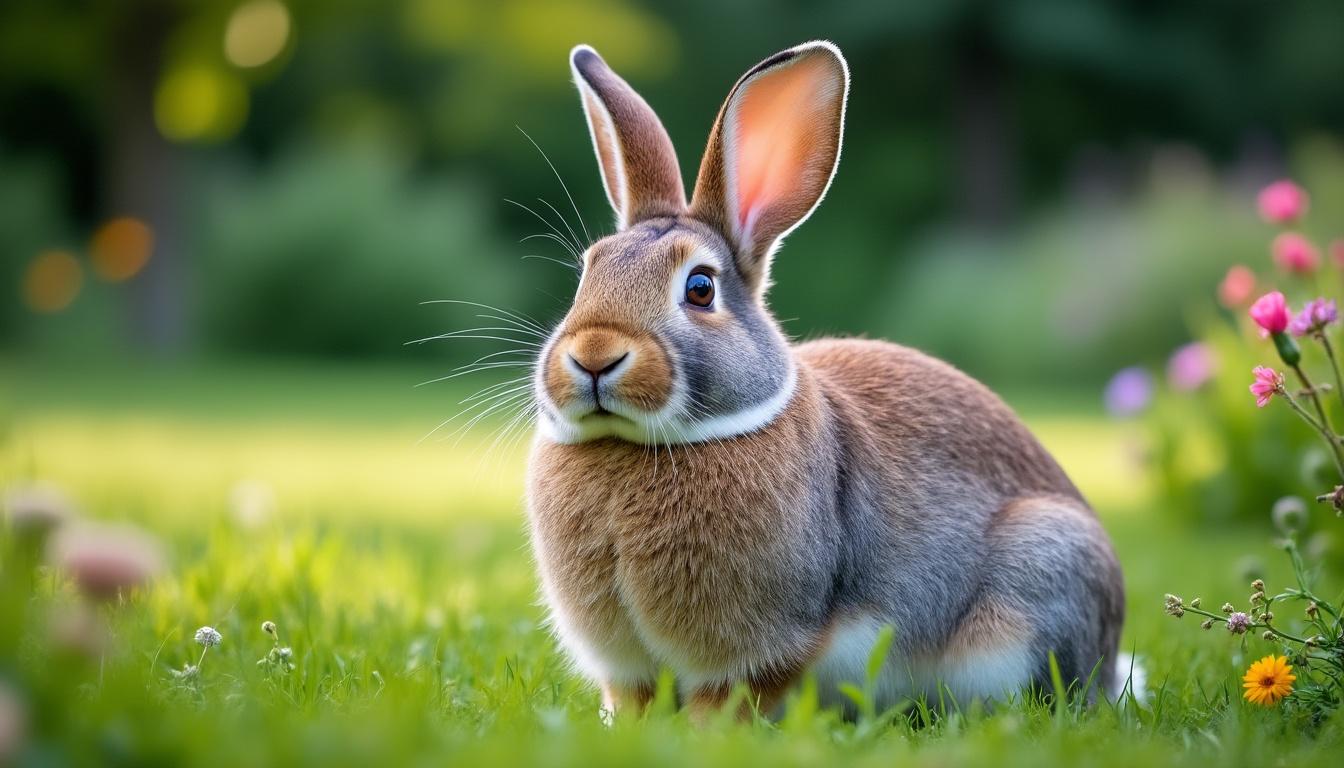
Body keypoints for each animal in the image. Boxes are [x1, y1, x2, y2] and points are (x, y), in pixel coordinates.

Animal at [525, 40, 1126, 720]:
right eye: (588, 271)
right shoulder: (627, 668)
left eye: (700, 288)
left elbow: (729, 696)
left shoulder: (762, 647)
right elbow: (636, 697)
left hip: (1041, 573)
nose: (594, 356)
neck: (641, 443)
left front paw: (706, 733)